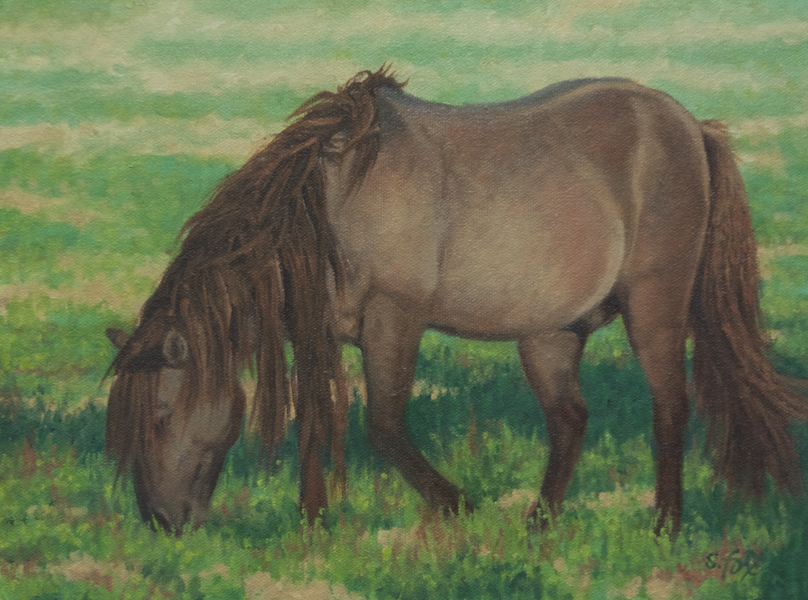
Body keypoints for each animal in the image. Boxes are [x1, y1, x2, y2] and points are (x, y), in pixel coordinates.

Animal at [105, 67, 807, 536]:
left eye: (161, 414)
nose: (161, 521)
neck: (332, 199)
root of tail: (692, 126)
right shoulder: (320, 333)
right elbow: (314, 424)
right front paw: (313, 524)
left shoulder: (394, 320)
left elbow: (383, 427)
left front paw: (461, 507)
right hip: (550, 332)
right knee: (570, 419)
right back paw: (540, 524)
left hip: (654, 305)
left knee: (669, 408)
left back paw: (664, 525)